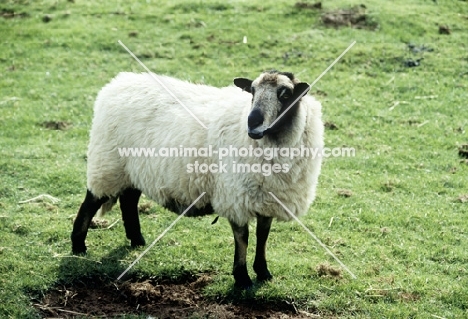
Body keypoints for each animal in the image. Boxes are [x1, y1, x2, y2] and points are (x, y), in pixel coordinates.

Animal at [71, 70, 324, 290]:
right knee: (91, 202)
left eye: (285, 94)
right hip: (108, 164)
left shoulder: (268, 198)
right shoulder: (234, 196)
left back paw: (137, 240)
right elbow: (242, 238)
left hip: (133, 170)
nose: (252, 122)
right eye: (252, 91)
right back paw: (78, 247)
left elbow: (263, 237)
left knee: (129, 200)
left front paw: (263, 273)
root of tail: (118, 83)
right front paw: (242, 279)